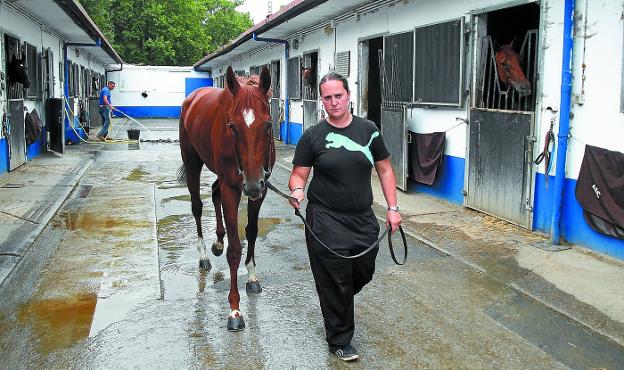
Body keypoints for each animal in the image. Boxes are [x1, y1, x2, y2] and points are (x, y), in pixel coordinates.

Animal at [176, 65, 272, 330]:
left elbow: (251, 231)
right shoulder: (233, 188)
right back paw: (203, 256)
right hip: (193, 164)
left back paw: (218, 241)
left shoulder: (261, 189)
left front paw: (252, 277)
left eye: (268, 125)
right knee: (197, 206)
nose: (252, 185)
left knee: (215, 192)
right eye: (232, 126)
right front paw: (235, 310)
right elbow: (235, 249)